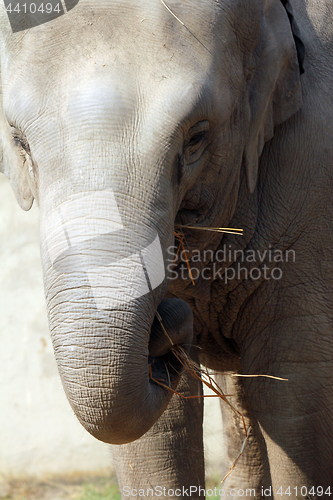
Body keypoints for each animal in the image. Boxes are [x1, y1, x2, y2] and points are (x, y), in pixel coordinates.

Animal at [0, 0, 332, 498]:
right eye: (19, 142)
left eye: (196, 137)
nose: (169, 313)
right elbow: (157, 428)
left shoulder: (311, 177)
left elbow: (294, 393)